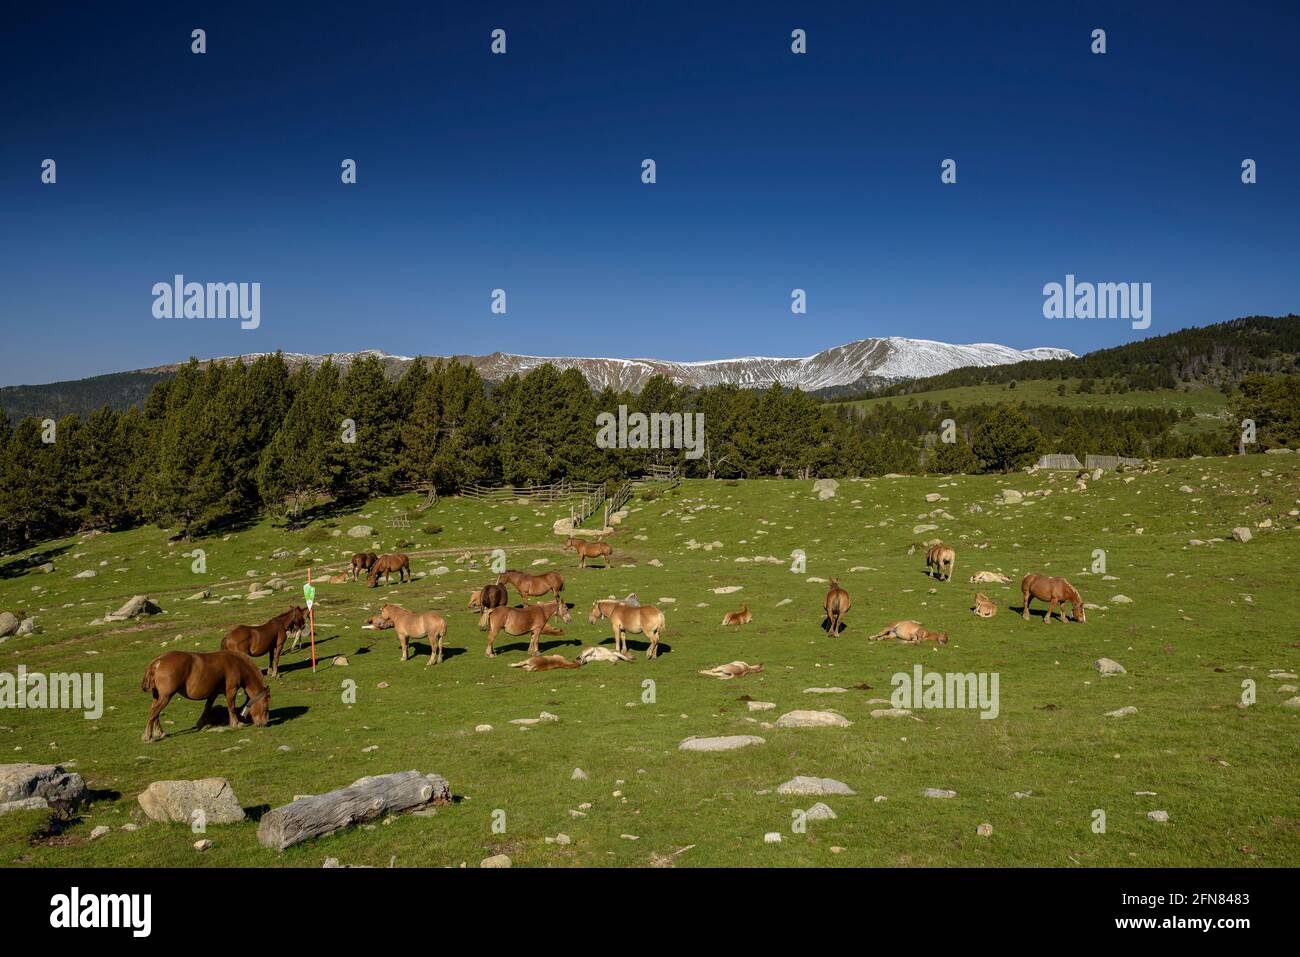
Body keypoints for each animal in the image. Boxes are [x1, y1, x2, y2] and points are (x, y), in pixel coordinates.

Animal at [138, 647, 270, 743]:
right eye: (266, 705)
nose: (264, 723)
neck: (236, 663)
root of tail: (157, 662)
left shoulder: (213, 693)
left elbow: (207, 708)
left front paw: (200, 724)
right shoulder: (231, 690)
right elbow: (231, 707)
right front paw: (236, 724)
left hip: (158, 697)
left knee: (155, 713)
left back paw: (159, 732)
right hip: (166, 697)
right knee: (154, 713)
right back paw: (148, 737)